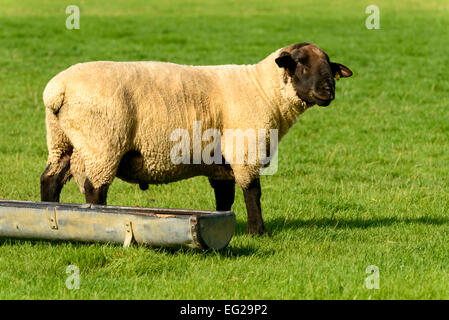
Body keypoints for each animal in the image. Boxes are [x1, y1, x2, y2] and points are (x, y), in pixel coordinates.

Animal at [40, 43, 352, 235]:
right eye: (301, 65)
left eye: (329, 67)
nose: (329, 91)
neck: (264, 90)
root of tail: (57, 90)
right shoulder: (245, 149)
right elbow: (253, 192)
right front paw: (258, 232)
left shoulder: (221, 163)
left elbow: (225, 198)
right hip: (102, 143)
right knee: (95, 189)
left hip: (62, 141)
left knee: (50, 179)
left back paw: (47, 212)